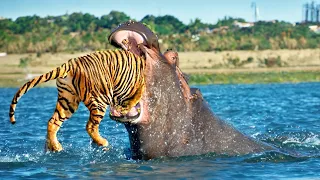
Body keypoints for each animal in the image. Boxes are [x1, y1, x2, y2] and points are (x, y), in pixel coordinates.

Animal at [8, 48, 146, 151]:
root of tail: (70, 63)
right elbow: (133, 99)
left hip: (67, 101)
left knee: (52, 122)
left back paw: (54, 147)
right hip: (100, 100)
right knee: (90, 126)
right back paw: (103, 142)